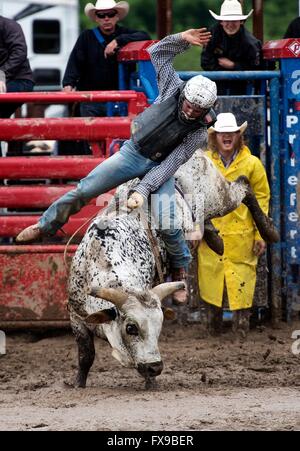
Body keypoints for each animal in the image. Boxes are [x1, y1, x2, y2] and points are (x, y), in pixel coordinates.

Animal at [68, 150, 278, 390]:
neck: (101, 262)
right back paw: (216, 241)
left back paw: (269, 230)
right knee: (207, 218)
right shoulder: (75, 315)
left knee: (243, 185)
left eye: (159, 325)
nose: (156, 367)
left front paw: (151, 382)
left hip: (218, 195)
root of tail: (198, 152)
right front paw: (78, 383)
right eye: (131, 328)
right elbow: (86, 354)